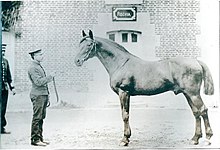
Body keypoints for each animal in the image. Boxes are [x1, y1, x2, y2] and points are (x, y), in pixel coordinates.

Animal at [74, 29, 213, 146]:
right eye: (79, 44)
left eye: (89, 44)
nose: (77, 61)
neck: (120, 63)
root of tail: (196, 61)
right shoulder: (127, 94)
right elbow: (126, 113)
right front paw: (128, 137)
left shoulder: (123, 92)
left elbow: (125, 115)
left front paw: (124, 140)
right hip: (187, 94)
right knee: (196, 113)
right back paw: (195, 139)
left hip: (193, 94)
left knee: (203, 110)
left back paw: (208, 138)